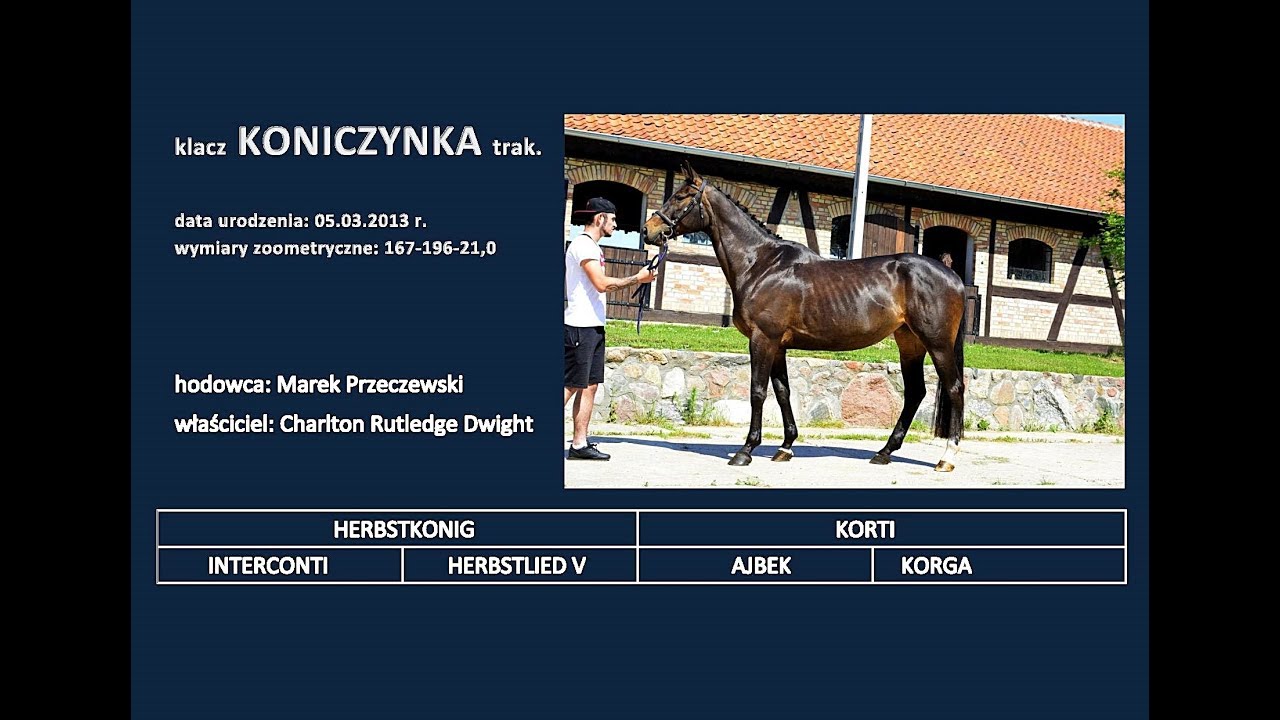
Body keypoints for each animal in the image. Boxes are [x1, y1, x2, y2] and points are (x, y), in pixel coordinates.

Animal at [641, 161, 967, 472]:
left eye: (680, 197)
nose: (647, 230)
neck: (761, 264)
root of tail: (954, 277)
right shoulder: (778, 345)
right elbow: (782, 391)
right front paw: (785, 447)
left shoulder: (763, 339)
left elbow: (757, 391)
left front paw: (746, 451)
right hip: (909, 342)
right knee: (915, 393)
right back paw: (884, 452)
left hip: (937, 343)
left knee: (954, 388)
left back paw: (947, 457)